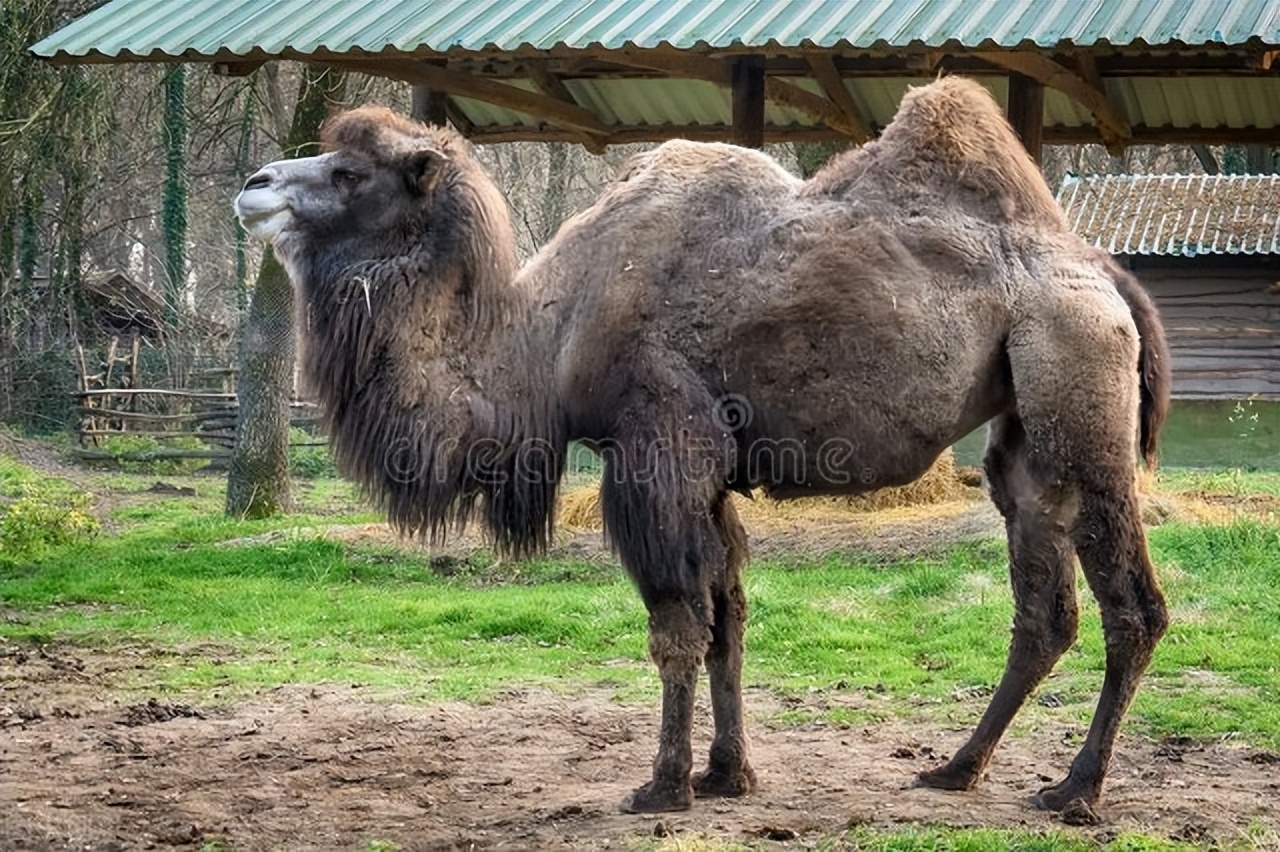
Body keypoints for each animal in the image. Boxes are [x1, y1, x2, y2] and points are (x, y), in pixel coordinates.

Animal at [235, 76, 1171, 815]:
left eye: (350, 173)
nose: (254, 184)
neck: (545, 339)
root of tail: (1106, 274)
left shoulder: (658, 450)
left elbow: (676, 626)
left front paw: (662, 787)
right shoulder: (710, 474)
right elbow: (729, 620)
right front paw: (726, 776)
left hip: (1078, 380)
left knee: (1133, 605)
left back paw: (1075, 790)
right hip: (1026, 434)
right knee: (1042, 604)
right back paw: (956, 769)